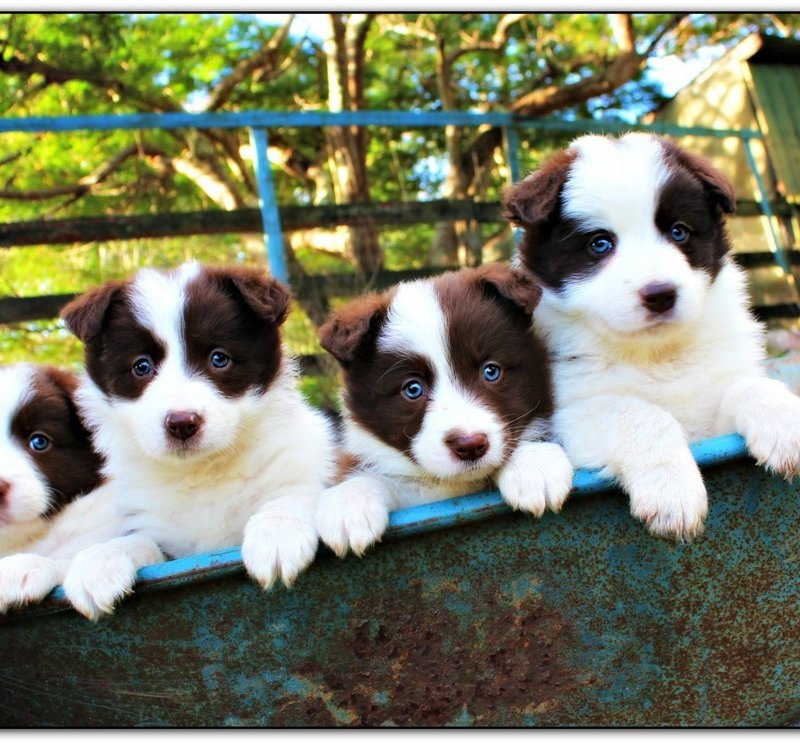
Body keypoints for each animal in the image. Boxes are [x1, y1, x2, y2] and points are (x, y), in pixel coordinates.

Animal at [58, 261, 337, 619]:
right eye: (141, 366)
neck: (202, 472)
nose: (181, 423)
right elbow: (137, 541)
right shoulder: (158, 533)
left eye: (219, 359)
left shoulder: (301, 471)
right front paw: (98, 563)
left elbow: (289, 497)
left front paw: (277, 534)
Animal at [315, 263, 574, 557]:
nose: (470, 445)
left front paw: (534, 465)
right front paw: (349, 503)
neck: (453, 486)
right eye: (413, 389)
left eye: (491, 371)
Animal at [503, 131, 800, 539]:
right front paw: (671, 490)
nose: (660, 294)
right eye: (599, 243)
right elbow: (636, 410)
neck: (656, 354)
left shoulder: (711, 421)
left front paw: (786, 423)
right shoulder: (571, 413)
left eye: (679, 232)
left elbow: (748, 385)